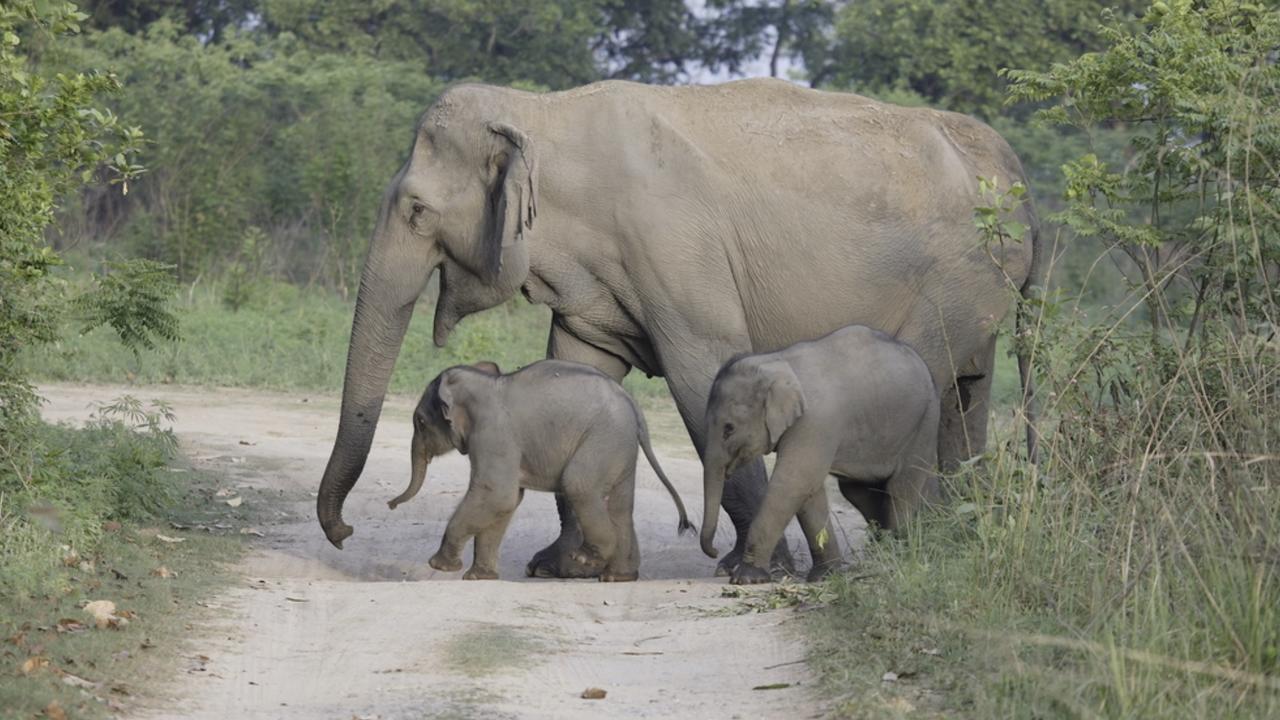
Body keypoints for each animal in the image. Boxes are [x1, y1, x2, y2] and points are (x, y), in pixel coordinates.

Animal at [391, 356, 696, 579]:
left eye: (420, 422)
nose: (390, 505)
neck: (486, 382)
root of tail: (633, 406)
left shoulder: (493, 434)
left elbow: (497, 494)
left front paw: (441, 566)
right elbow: (507, 501)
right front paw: (479, 577)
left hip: (602, 439)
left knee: (579, 484)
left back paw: (587, 557)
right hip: (620, 449)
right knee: (620, 506)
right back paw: (617, 578)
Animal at [701, 325, 942, 584]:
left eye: (729, 429)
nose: (714, 552)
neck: (776, 361)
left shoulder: (815, 422)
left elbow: (793, 483)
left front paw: (747, 578)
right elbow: (809, 492)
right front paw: (825, 576)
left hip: (924, 424)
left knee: (901, 488)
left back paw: (896, 557)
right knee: (859, 492)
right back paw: (880, 555)